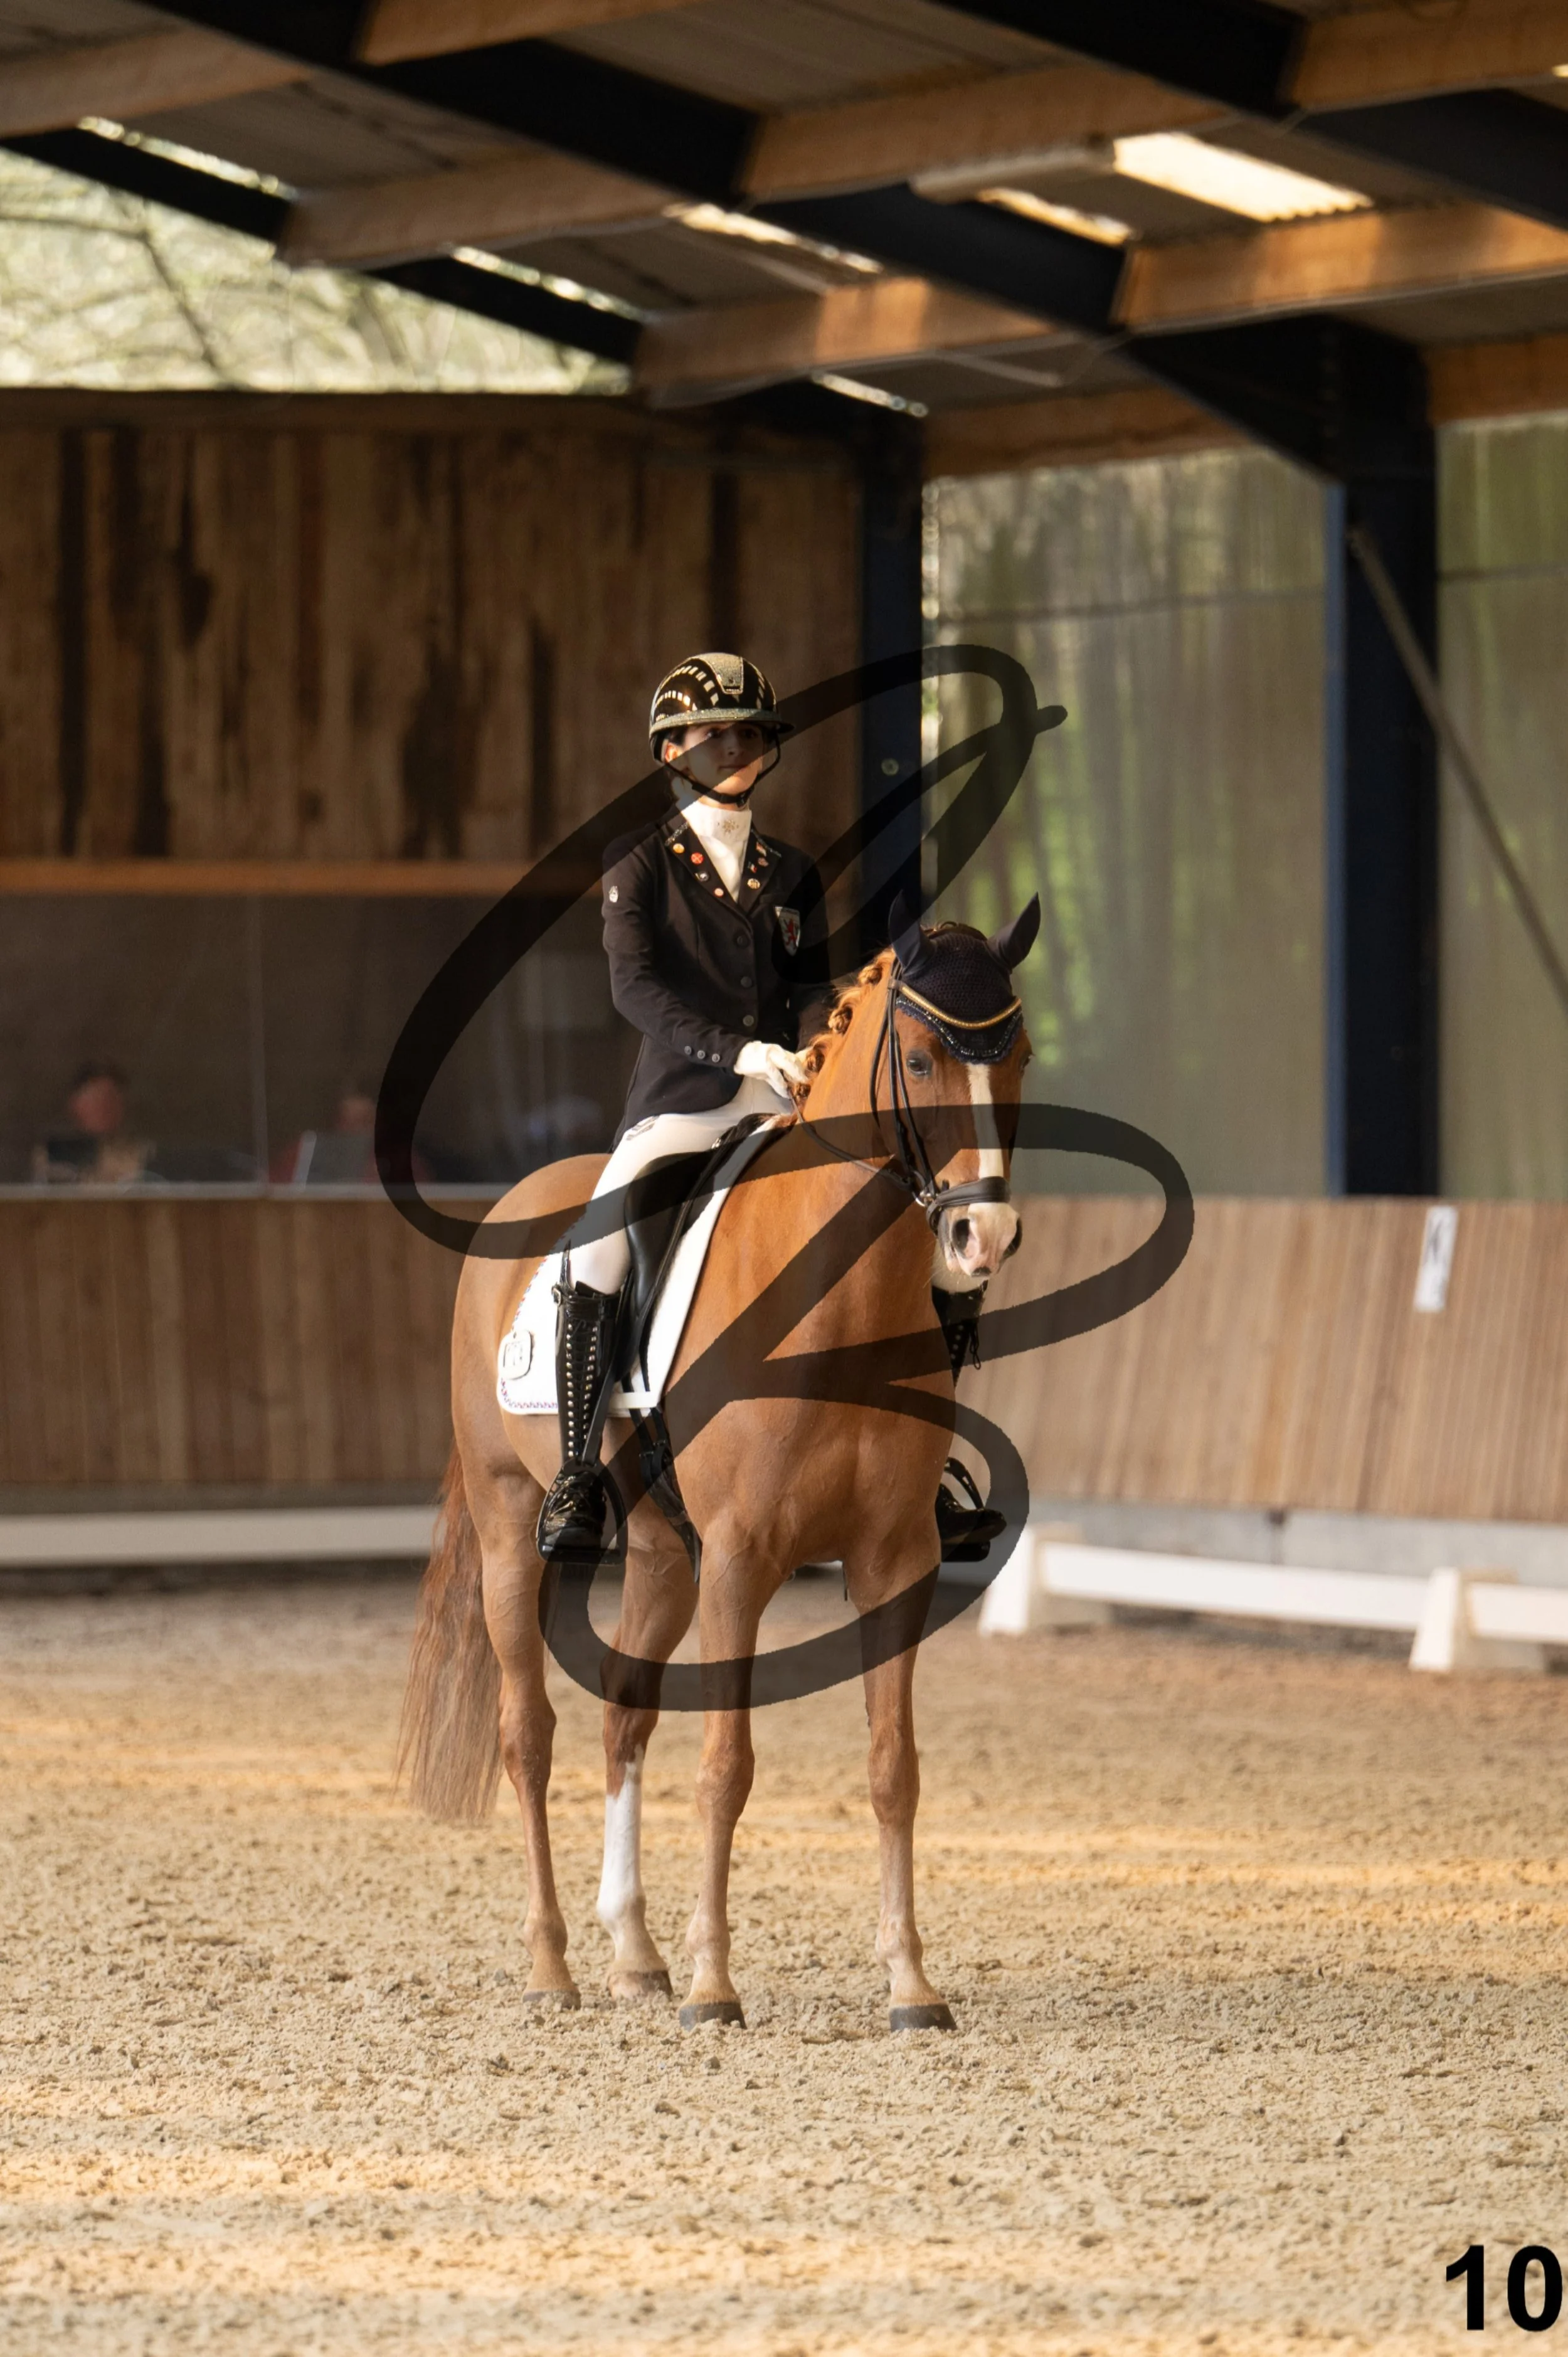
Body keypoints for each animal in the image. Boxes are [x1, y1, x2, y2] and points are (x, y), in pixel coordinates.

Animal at [397, 900, 1038, 2032]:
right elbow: (726, 1766)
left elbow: (893, 1766)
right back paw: (554, 1965)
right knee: (530, 1731)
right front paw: (714, 1986)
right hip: (514, 1527)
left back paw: (634, 1954)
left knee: (622, 1713)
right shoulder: (742, 1558)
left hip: (663, 1554)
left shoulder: (897, 1557)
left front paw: (911, 1984)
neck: (837, 1298)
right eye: (921, 1057)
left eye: (1022, 1055)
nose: (982, 1234)